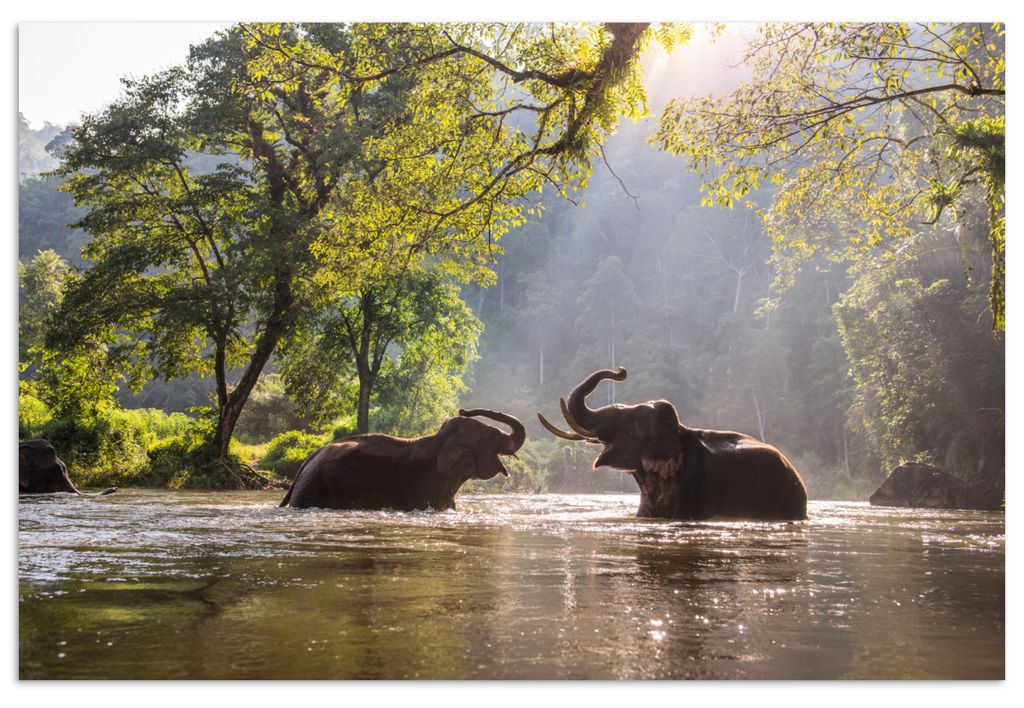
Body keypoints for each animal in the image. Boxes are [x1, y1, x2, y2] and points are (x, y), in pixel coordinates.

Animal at [279, 408, 526, 511]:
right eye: (492, 436)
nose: (463, 410)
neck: (439, 439)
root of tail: (307, 460)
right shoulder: (426, 487)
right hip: (312, 488)